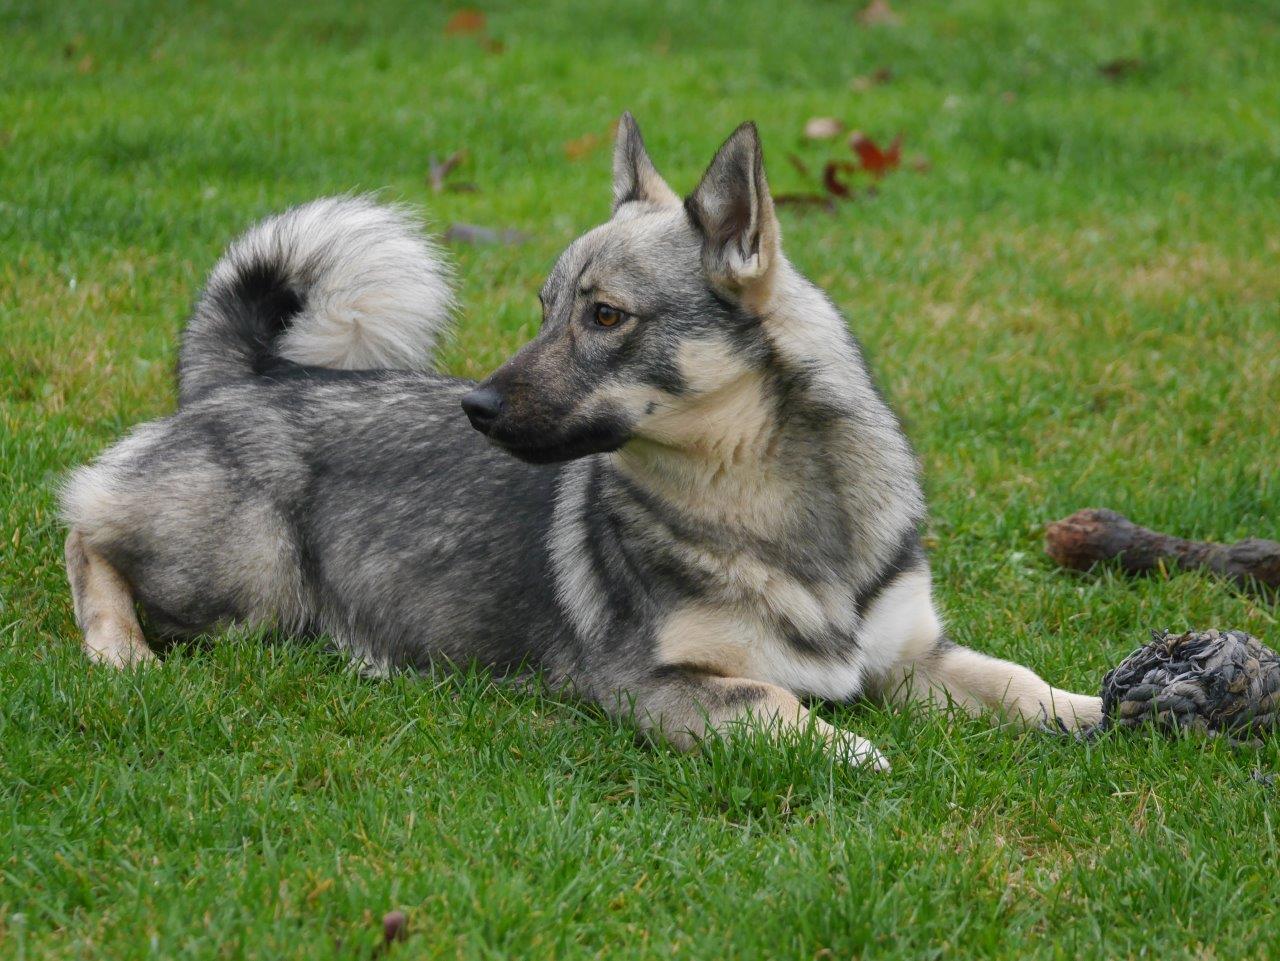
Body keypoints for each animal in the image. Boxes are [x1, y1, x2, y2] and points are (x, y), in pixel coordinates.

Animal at [60, 116, 1100, 772]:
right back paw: (119, 650)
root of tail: (245, 376)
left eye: (603, 316)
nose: (475, 405)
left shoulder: (913, 656)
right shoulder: (649, 683)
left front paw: (1097, 710)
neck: (764, 508)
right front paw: (849, 746)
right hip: (245, 578)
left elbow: (1016, 679)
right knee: (86, 530)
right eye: (544, 309)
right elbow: (773, 701)